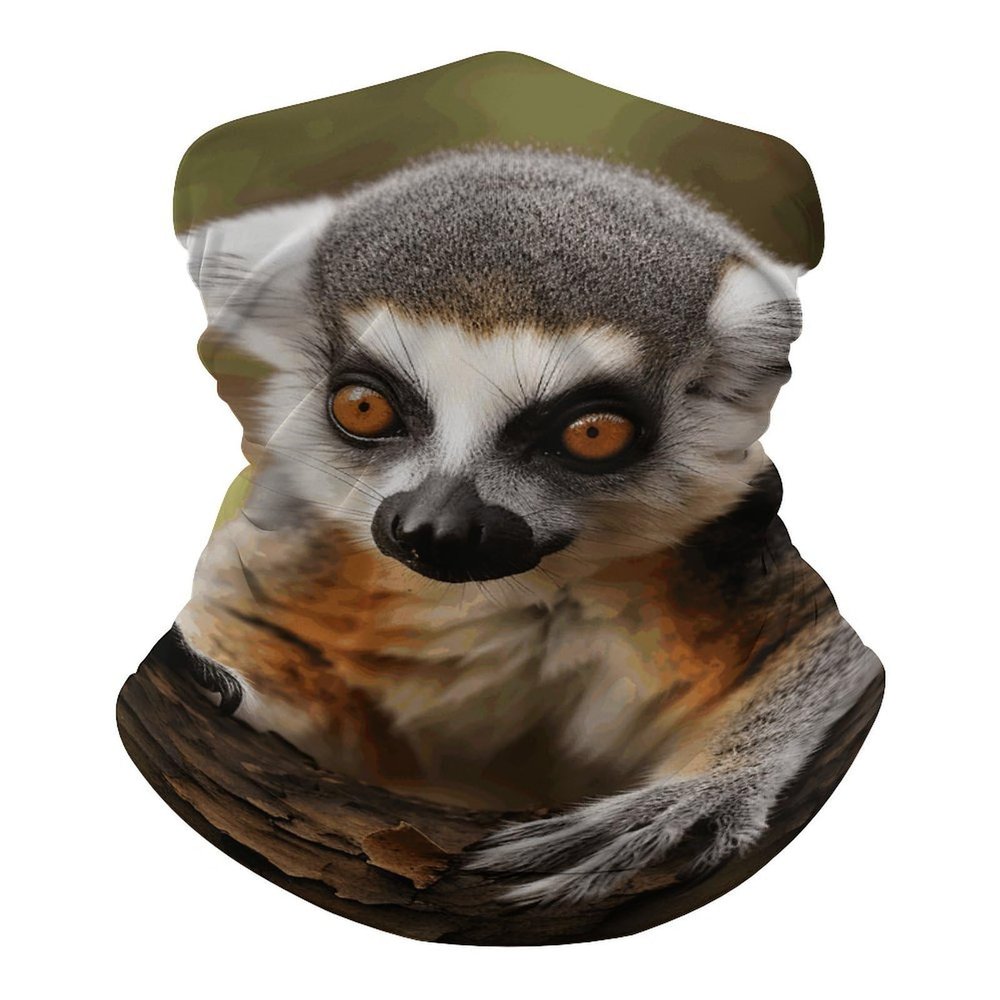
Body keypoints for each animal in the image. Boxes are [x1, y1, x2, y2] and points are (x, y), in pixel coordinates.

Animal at [166, 143, 883, 906]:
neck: (530, 597)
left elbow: (836, 645)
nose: (435, 529)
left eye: (593, 433)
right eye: (363, 406)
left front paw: (713, 784)